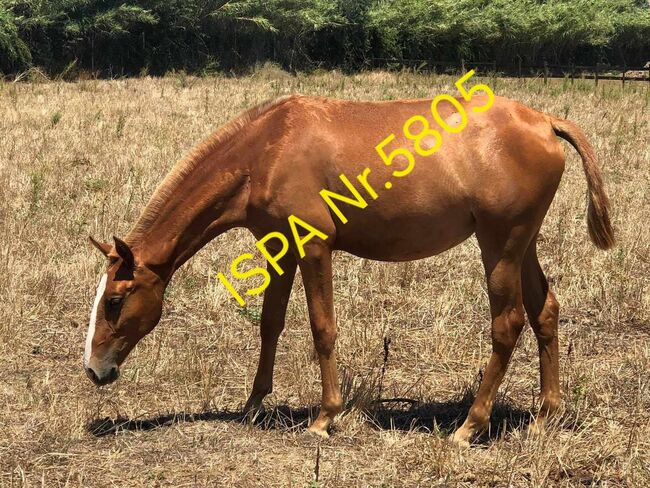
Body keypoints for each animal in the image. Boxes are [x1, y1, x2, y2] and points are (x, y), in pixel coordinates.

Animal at [83, 92, 612, 446]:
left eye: (115, 300)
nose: (94, 369)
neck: (267, 148)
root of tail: (544, 122)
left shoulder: (315, 248)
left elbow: (322, 328)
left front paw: (325, 417)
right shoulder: (279, 249)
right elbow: (270, 324)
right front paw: (254, 405)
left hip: (499, 246)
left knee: (508, 324)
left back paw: (470, 426)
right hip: (521, 246)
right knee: (545, 313)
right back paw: (546, 415)